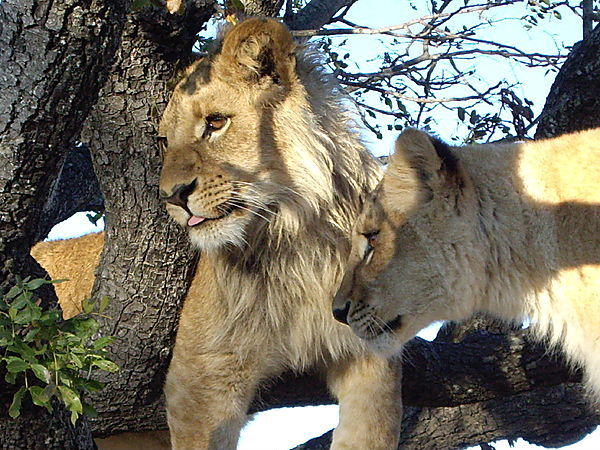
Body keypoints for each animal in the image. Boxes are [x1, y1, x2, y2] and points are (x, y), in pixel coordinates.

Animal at [35, 17, 404, 450]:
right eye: (165, 140)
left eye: (215, 122)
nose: (172, 196)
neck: (294, 237)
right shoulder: (202, 378)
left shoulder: (371, 355)